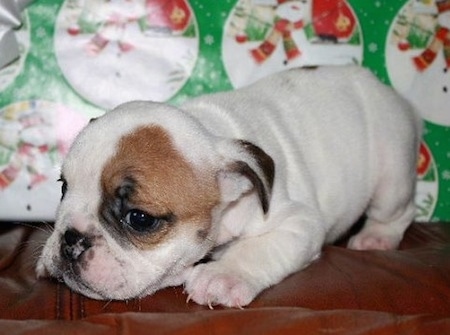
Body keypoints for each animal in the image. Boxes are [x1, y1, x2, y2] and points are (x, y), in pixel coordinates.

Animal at [36, 64, 422, 308]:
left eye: (139, 219)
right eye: (63, 188)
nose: (70, 238)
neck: (208, 132)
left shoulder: (298, 223)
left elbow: (257, 249)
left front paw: (222, 275)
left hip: (392, 175)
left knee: (399, 210)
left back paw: (377, 237)